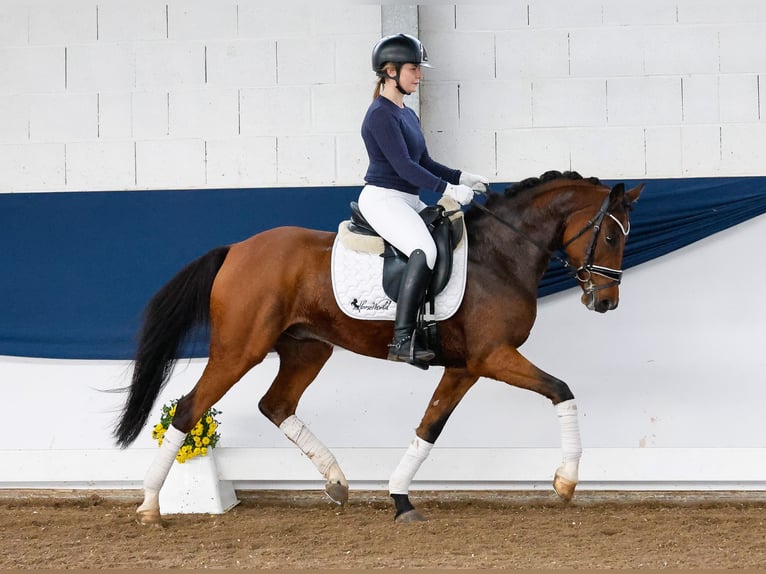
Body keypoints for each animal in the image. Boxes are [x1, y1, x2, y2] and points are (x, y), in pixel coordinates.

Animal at [112, 171, 640, 528]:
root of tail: (237, 249)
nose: (607, 302)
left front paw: (400, 498)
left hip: (307, 350)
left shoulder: (466, 366)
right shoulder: (493, 357)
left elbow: (429, 427)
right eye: (612, 234)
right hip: (239, 349)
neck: (501, 256)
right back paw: (150, 506)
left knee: (275, 404)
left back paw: (336, 482)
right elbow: (561, 390)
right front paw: (566, 481)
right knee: (188, 409)